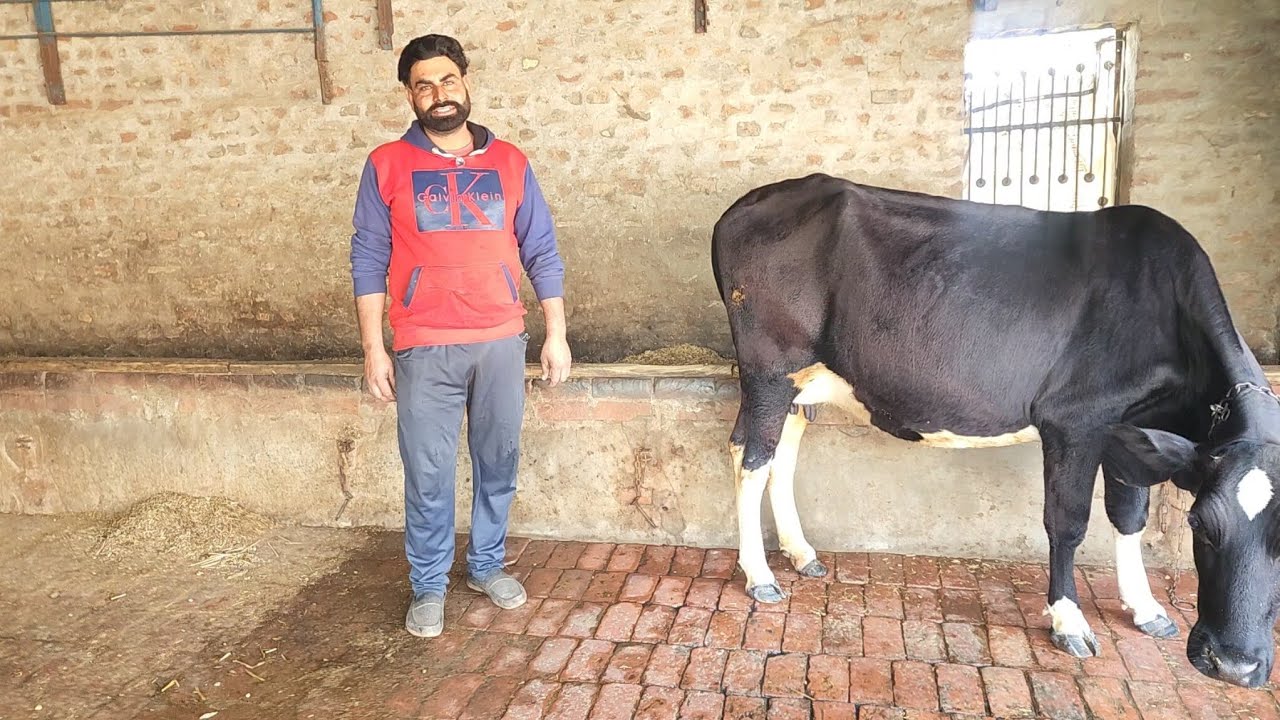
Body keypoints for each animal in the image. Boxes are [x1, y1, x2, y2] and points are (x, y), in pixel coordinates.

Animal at [710, 172, 1280, 688]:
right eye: (1199, 525)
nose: (1232, 665)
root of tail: (744, 204)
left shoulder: (1130, 429)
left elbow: (1128, 515)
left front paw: (1145, 608)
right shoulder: (1073, 419)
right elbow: (1068, 522)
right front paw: (1069, 621)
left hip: (802, 380)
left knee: (777, 454)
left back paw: (801, 553)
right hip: (770, 368)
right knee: (752, 458)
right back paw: (760, 575)